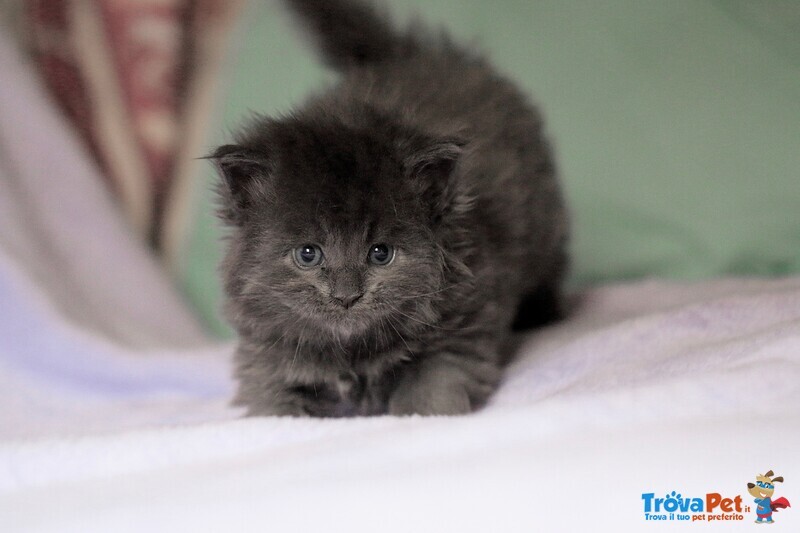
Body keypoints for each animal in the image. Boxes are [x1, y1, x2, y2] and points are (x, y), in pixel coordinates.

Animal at [209, 0, 564, 416]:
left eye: (380, 253)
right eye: (308, 254)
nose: (346, 296)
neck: (352, 354)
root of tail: (415, 54)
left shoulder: (457, 337)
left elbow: (430, 396)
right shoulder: (268, 361)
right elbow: (274, 407)